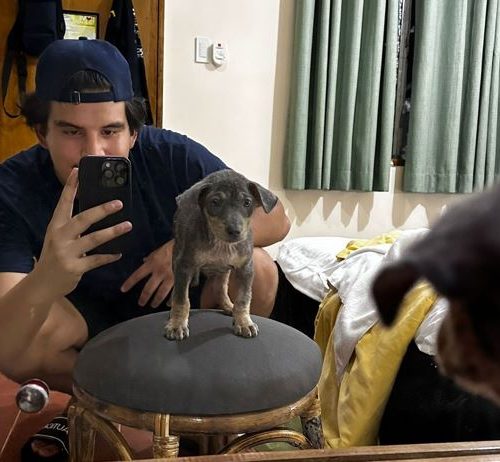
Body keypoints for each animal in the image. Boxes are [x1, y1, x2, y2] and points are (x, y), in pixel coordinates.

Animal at [164, 169, 278, 341]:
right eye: (215, 202)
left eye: (247, 203)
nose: (235, 231)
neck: (221, 245)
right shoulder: (184, 265)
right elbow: (181, 299)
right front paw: (177, 324)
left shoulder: (246, 268)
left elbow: (243, 299)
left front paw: (243, 322)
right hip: (177, 253)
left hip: (224, 270)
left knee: (220, 288)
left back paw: (228, 306)